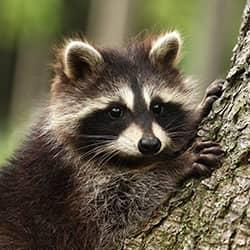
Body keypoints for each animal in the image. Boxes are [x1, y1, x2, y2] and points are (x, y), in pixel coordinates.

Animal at [0, 31, 224, 250]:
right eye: (116, 111)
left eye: (157, 107)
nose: (150, 145)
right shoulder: (77, 186)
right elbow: (122, 205)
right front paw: (174, 165)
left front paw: (192, 119)